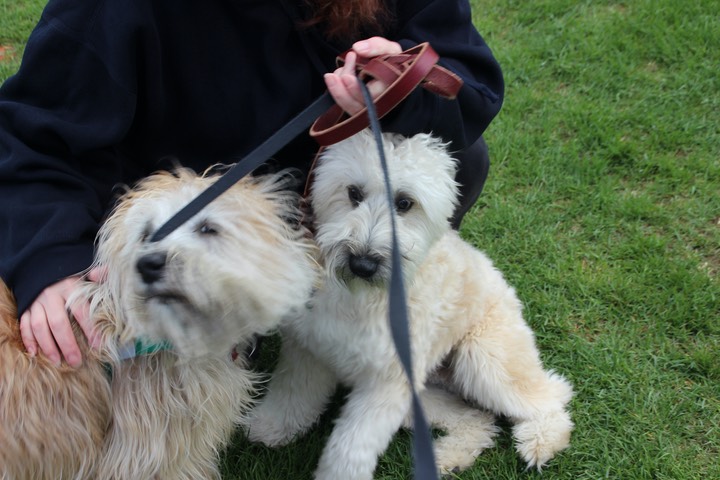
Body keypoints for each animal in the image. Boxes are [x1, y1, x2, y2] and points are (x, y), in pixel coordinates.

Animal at [250, 129, 576, 478]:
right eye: (354, 193)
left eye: (405, 203)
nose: (363, 264)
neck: (361, 298)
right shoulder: (308, 351)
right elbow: (291, 395)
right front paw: (272, 425)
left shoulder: (385, 386)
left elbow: (349, 449)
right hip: (423, 396)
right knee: (476, 418)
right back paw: (449, 457)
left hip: (486, 362)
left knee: (552, 396)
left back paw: (539, 443)